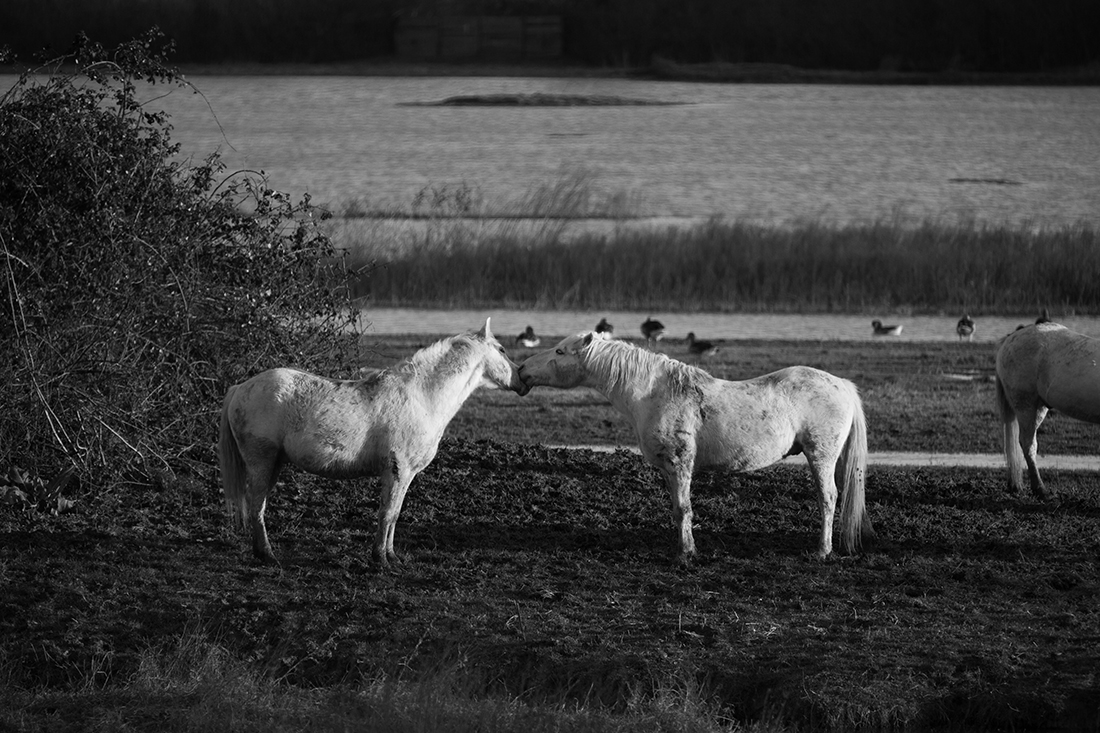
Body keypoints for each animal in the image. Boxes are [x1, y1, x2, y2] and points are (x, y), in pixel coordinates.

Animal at [219, 318, 529, 568]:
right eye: (502, 350)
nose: (524, 379)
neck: (422, 397)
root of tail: (240, 388)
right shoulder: (397, 470)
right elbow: (387, 514)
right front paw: (380, 560)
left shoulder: (405, 475)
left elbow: (394, 515)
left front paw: (391, 556)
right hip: (262, 461)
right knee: (256, 506)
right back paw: (268, 555)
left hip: (275, 464)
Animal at [518, 333, 872, 562]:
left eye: (560, 352)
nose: (521, 370)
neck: (653, 393)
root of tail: (842, 385)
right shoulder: (667, 469)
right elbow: (677, 509)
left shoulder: (680, 463)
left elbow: (683, 508)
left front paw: (686, 553)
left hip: (821, 456)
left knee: (828, 499)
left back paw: (822, 551)